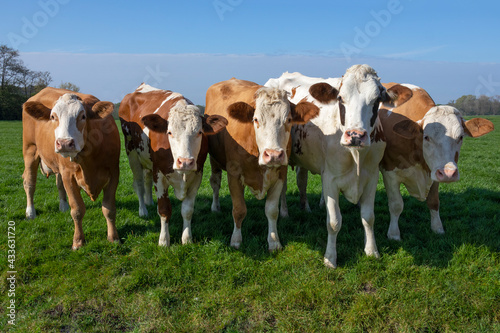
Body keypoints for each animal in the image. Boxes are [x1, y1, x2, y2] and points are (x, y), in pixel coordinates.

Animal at [23, 87, 121, 248]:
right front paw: (78, 240)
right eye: (53, 116)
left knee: (58, 184)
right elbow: (77, 209)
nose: (64, 143)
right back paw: (30, 212)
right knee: (29, 183)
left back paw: (63, 206)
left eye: (83, 116)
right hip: (30, 150)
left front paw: (113, 237)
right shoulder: (68, 175)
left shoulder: (113, 172)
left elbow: (109, 208)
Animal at [119, 83, 227, 244]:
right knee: (139, 183)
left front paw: (187, 239)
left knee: (146, 179)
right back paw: (143, 210)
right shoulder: (159, 174)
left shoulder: (197, 175)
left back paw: (149, 202)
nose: (185, 162)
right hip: (131, 152)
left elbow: (187, 210)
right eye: (169, 132)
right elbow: (164, 210)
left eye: (199, 132)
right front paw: (164, 240)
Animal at [206, 77, 320, 249]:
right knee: (215, 182)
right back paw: (215, 207)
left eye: (289, 120)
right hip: (214, 160)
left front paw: (274, 242)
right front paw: (236, 241)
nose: (273, 155)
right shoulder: (234, 175)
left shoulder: (280, 174)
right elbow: (239, 210)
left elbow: (272, 211)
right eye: (256, 119)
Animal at [266, 65, 414, 268]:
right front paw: (330, 258)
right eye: (340, 98)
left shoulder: (372, 177)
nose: (356, 135)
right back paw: (285, 212)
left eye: (377, 100)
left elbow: (368, 217)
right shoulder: (330, 179)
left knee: (302, 180)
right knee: (283, 188)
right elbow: (334, 222)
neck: (356, 155)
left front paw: (372, 250)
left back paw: (306, 208)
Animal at [378, 82, 492, 240]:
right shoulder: (389, 172)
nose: (449, 173)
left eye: (460, 137)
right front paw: (394, 234)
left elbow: (434, 202)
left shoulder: (434, 171)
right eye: (426, 137)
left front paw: (437, 228)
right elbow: (396, 205)